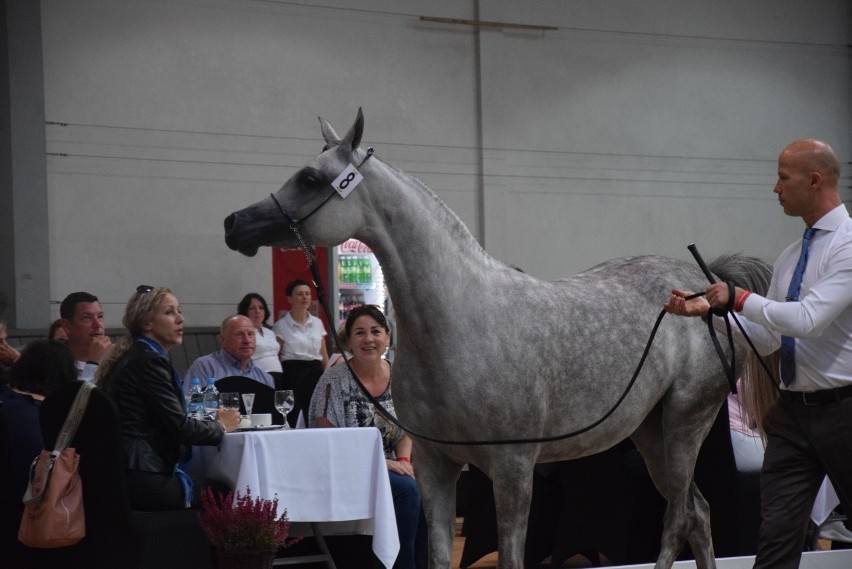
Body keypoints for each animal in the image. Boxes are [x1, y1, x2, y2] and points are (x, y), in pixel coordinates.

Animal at [225, 108, 772, 564]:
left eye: (310, 177)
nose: (235, 223)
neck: (461, 321)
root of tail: (709, 288)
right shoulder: (435, 467)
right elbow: (438, 555)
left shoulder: (512, 470)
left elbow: (511, 556)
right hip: (650, 431)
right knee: (697, 513)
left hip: (685, 424)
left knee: (680, 516)